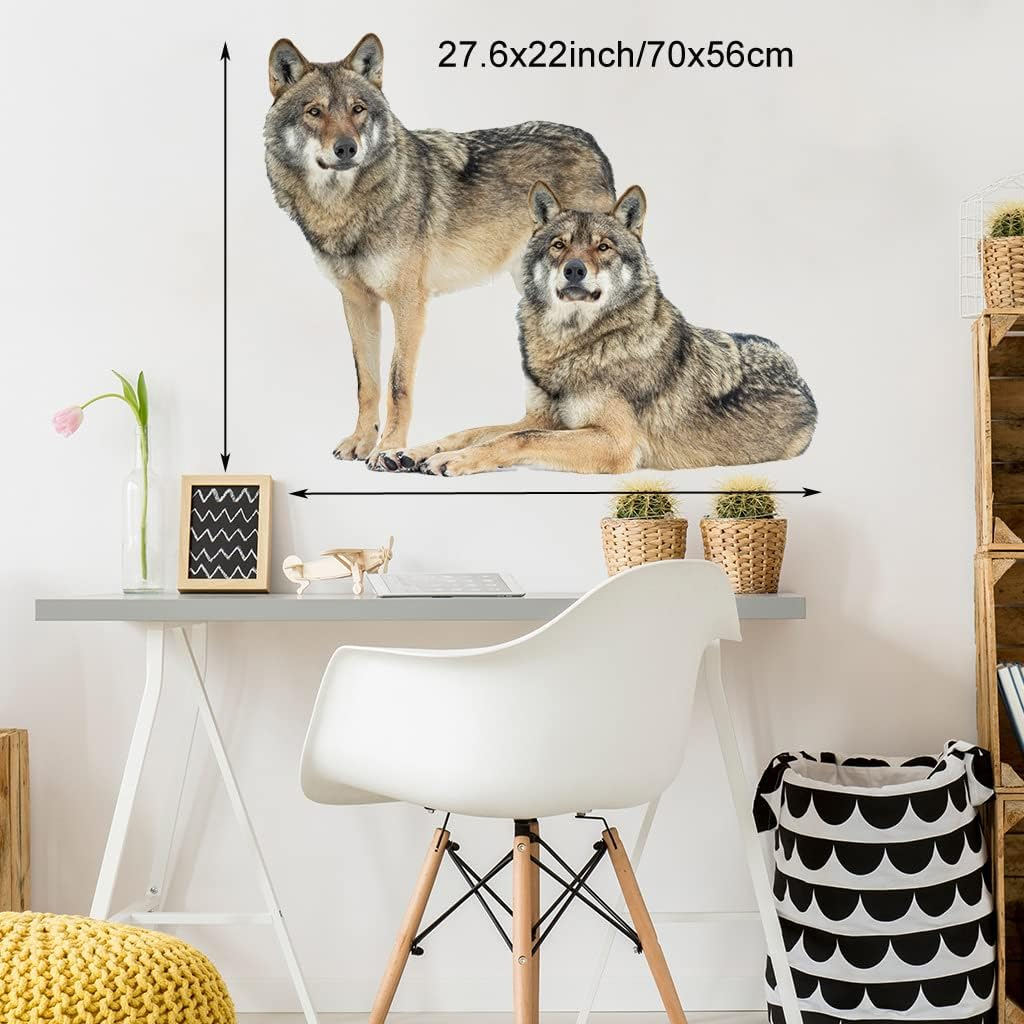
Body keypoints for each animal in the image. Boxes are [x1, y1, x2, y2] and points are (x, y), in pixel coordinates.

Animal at [263, 34, 616, 468]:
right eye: (315, 112)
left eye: (357, 110)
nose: (347, 148)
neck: (346, 209)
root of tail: (592, 143)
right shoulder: (357, 302)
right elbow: (367, 382)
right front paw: (361, 441)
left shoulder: (408, 302)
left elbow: (397, 383)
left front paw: (389, 447)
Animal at [383, 183, 817, 476]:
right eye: (558, 245)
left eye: (603, 247)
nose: (575, 269)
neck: (575, 344)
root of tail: (799, 373)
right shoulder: (542, 417)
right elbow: (476, 430)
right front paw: (413, 451)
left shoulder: (615, 442)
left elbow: (516, 438)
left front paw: (452, 460)